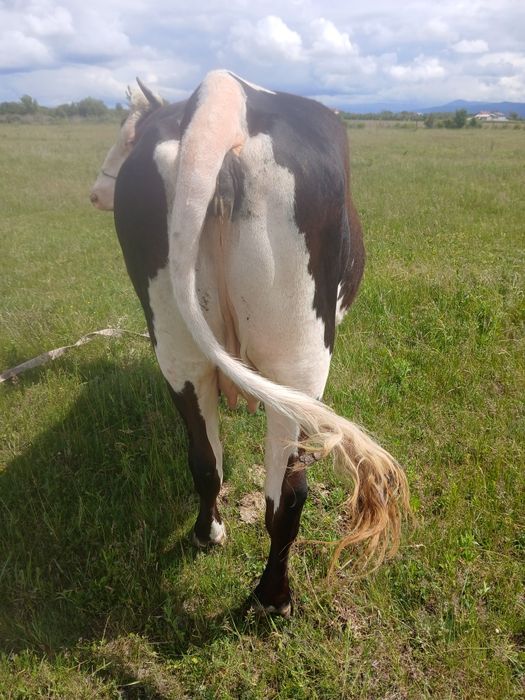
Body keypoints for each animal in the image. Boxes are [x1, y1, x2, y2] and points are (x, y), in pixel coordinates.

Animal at [91, 71, 409, 617]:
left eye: (127, 135)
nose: (95, 193)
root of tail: (220, 96)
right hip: (299, 361)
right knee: (289, 492)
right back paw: (274, 598)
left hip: (177, 349)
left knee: (204, 460)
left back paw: (208, 534)